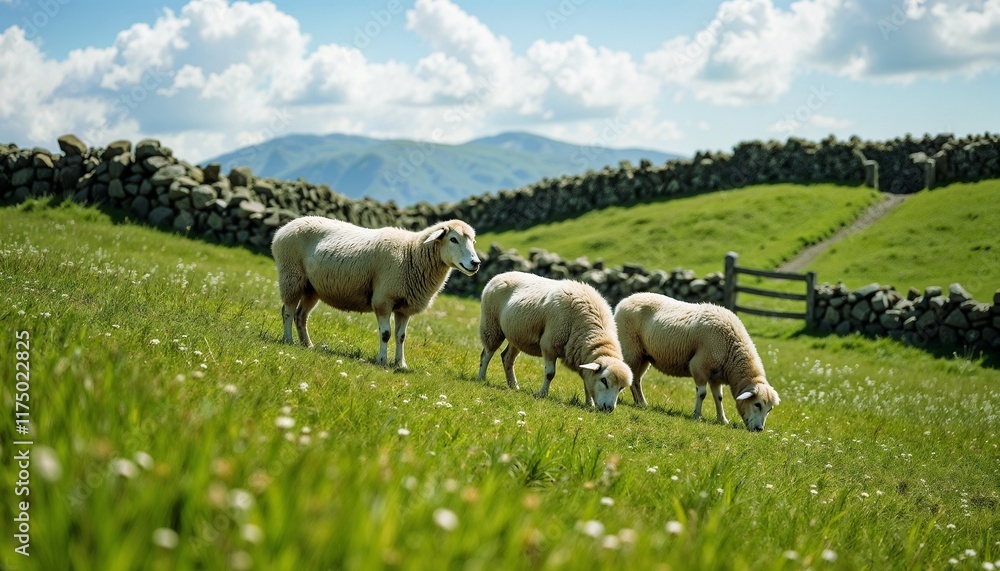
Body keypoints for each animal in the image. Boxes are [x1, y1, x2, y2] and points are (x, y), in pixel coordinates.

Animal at [271, 216, 481, 368]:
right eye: (453, 239)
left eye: (473, 241)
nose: (476, 263)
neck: (410, 253)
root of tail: (283, 229)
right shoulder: (383, 300)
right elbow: (386, 334)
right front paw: (382, 360)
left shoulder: (404, 307)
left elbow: (401, 336)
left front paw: (400, 364)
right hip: (291, 276)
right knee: (288, 311)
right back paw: (289, 340)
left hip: (311, 288)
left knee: (301, 315)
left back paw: (307, 344)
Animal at [477, 271, 633, 412]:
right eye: (604, 380)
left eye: (621, 387)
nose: (609, 409)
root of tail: (500, 275)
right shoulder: (549, 345)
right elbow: (550, 374)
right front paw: (542, 394)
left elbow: (586, 382)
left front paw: (590, 404)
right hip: (491, 326)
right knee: (486, 354)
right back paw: (481, 378)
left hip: (517, 336)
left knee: (507, 358)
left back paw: (514, 386)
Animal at [614, 292, 779, 431]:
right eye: (757, 404)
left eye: (770, 409)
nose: (759, 429)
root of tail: (625, 300)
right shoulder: (699, 366)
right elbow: (702, 394)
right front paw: (697, 416)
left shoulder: (716, 376)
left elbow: (719, 397)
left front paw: (722, 419)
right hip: (630, 349)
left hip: (644, 355)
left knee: (636, 379)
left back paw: (640, 403)